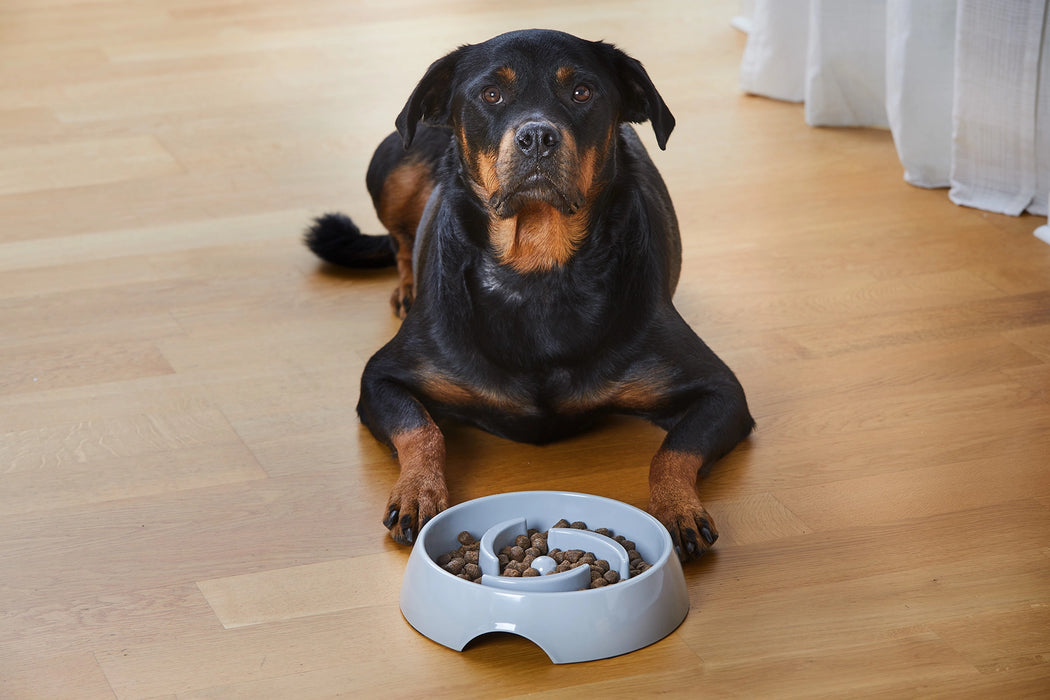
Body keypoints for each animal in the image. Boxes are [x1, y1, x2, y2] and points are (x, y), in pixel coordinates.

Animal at [306, 30, 755, 562]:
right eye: (490, 94)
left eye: (582, 92)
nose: (537, 136)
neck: (537, 266)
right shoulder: (380, 378)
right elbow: (421, 429)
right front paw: (418, 490)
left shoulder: (722, 392)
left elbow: (675, 450)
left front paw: (677, 507)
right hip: (395, 166)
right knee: (398, 237)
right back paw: (406, 285)